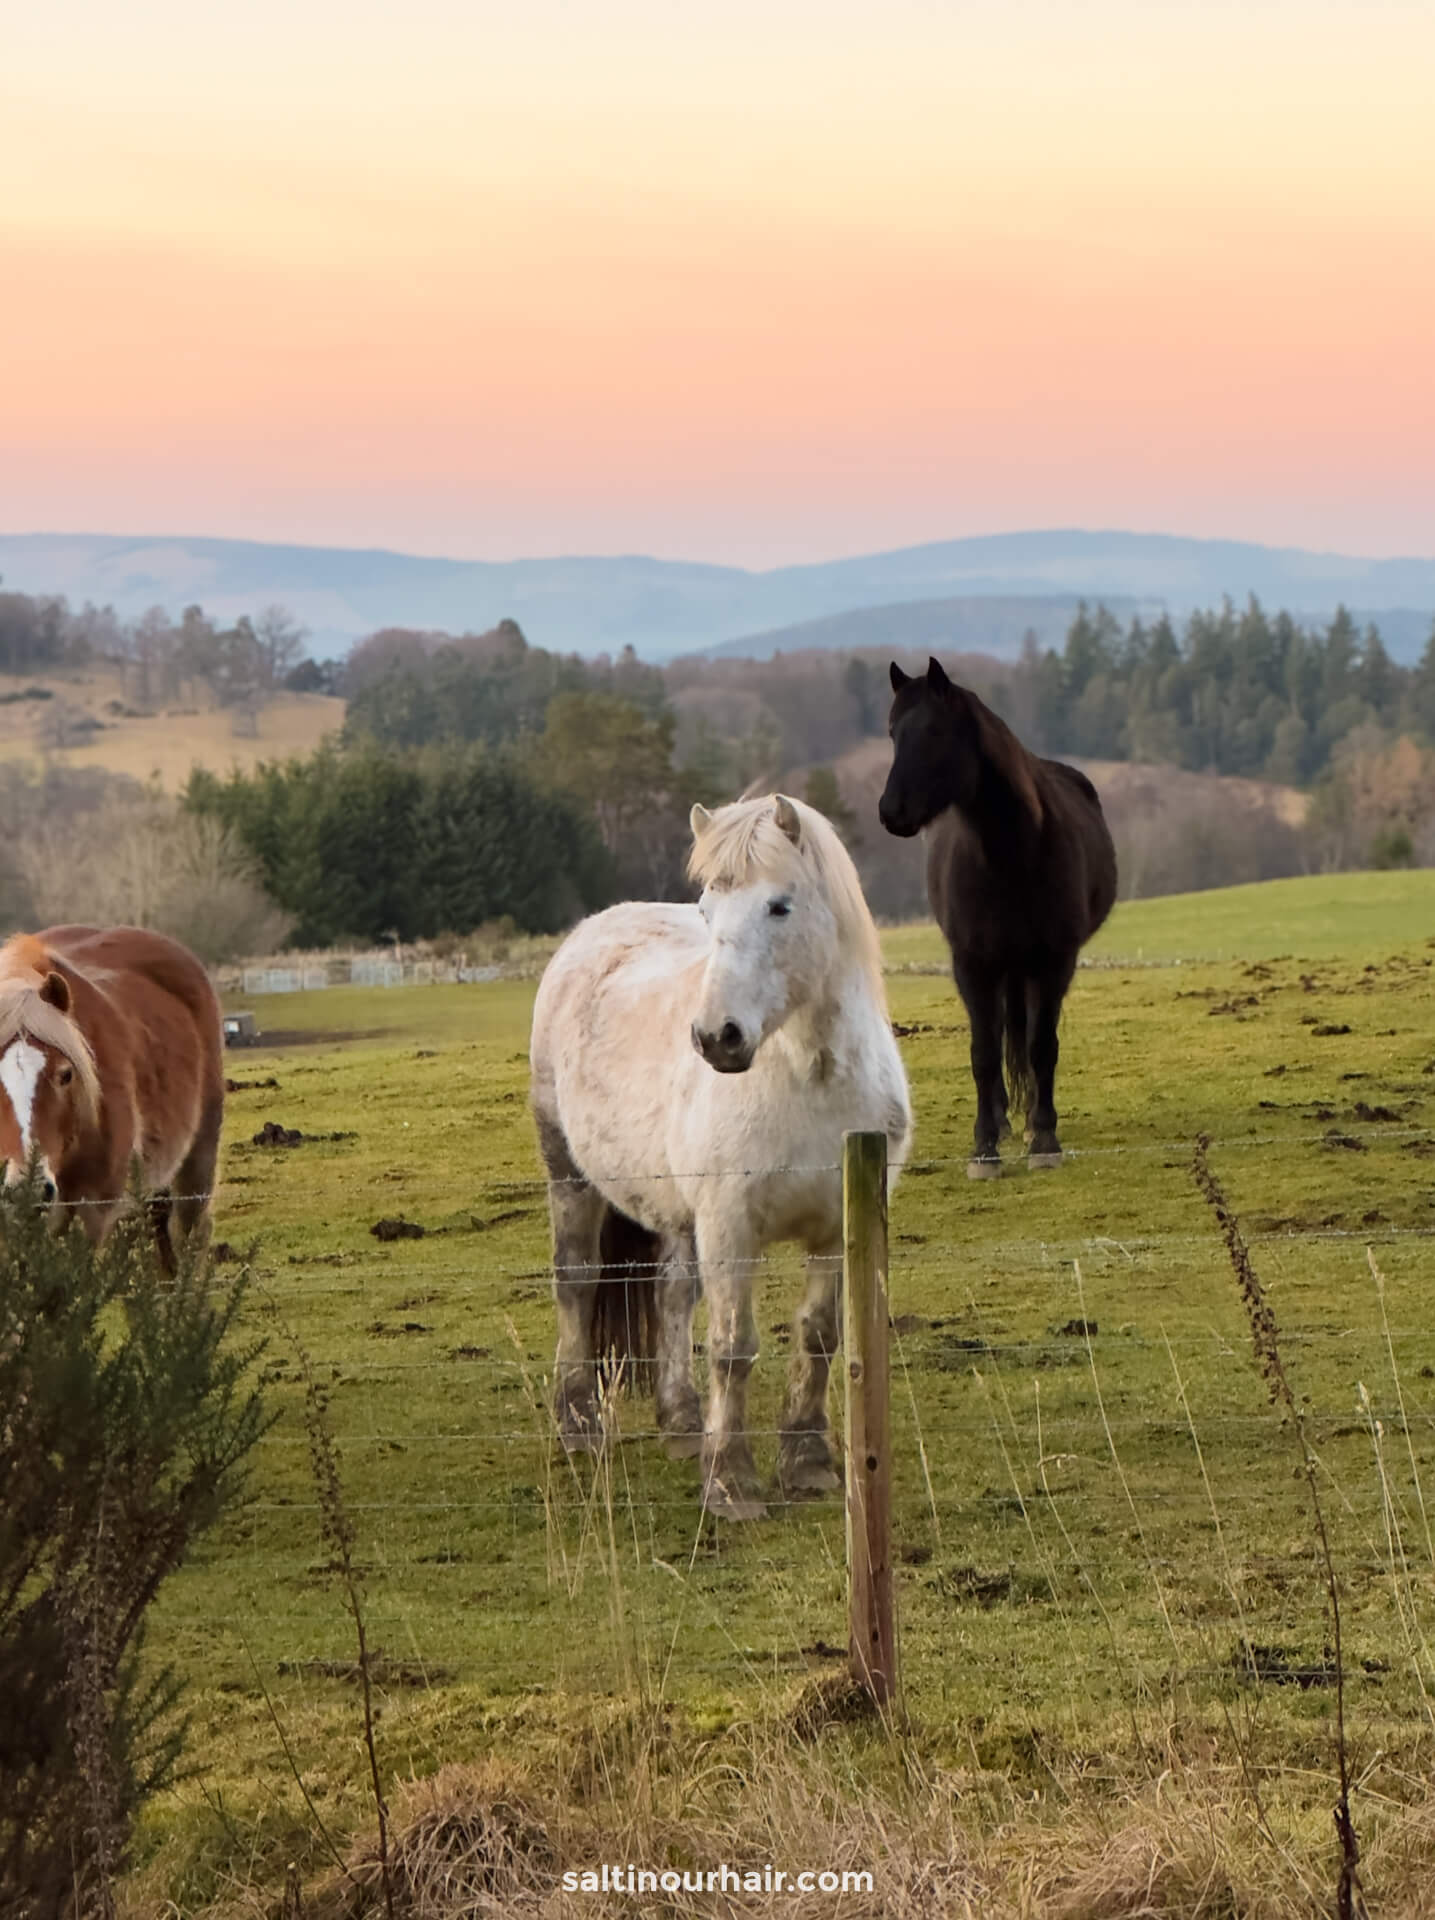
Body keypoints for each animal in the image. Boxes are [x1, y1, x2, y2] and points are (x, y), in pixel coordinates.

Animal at [526, 791, 910, 1512]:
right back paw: (579, 1424)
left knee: (673, 1294)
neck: (810, 1079)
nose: (715, 1038)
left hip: (680, 1214)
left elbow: (819, 1335)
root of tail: (593, 929)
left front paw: (807, 1460)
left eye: (779, 906)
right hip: (570, 1177)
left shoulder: (836, 1226)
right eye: (706, 912)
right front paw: (730, 1481)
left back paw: (680, 1421)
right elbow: (733, 1347)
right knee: (577, 1283)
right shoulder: (730, 1222)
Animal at [875, 656, 1121, 1167]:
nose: (891, 811)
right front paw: (984, 1143)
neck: (1010, 852)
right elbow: (984, 1051)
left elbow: (1041, 1046)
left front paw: (1044, 1136)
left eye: (934, 731)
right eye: (891, 732)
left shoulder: (1053, 961)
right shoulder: (972, 963)